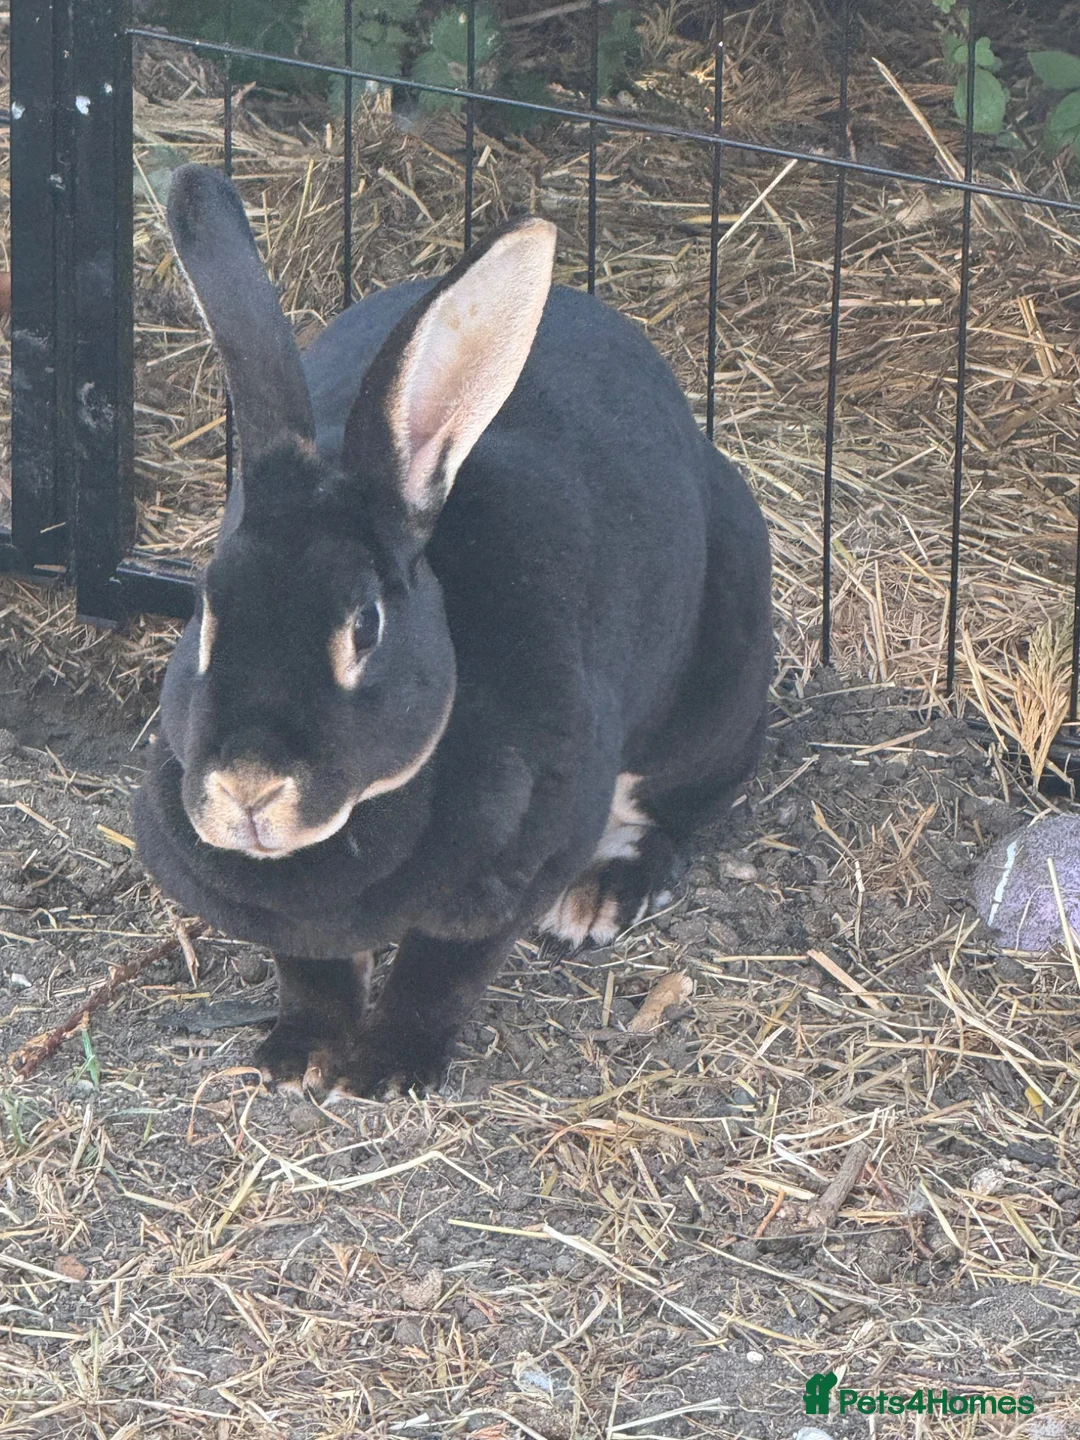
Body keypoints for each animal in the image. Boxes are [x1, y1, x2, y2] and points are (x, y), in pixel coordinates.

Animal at [134, 164, 773, 1096]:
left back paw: (597, 898)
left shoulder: (514, 865)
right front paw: (299, 1059)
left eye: (365, 626)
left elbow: (442, 974)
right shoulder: (297, 930)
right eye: (208, 610)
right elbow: (312, 972)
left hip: (711, 704)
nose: (249, 788)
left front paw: (387, 1071)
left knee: (679, 809)